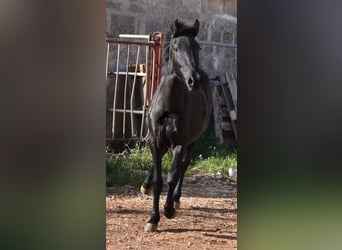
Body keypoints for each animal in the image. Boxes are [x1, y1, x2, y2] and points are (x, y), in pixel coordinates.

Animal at [140, 19, 211, 232]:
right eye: (175, 47)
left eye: (197, 47)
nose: (193, 80)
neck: (169, 106)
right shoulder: (155, 140)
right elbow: (158, 179)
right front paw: (152, 219)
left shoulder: (180, 143)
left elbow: (172, 176)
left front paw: (168, 210)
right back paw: (145, 186)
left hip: (192, 142)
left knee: (183, 167)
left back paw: (176, 199)